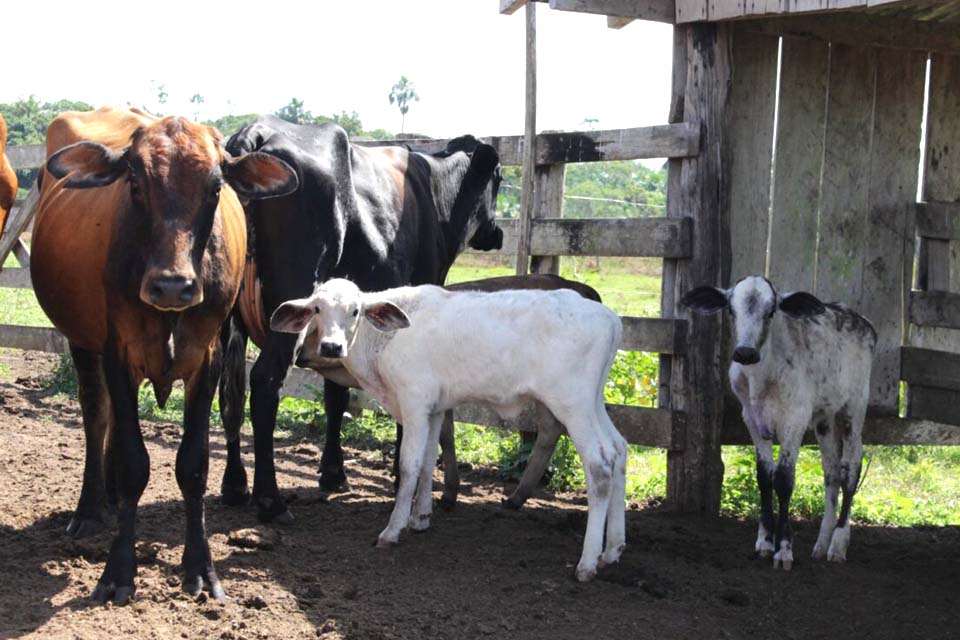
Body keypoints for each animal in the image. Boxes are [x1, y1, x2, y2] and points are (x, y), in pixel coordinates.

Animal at [32, 106, 296, 604]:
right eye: (135, 181)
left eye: (216, 186)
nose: (172, 286)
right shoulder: (117, 353)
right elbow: (134, 463)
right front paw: (117, 572)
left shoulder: (207, 358)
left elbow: (192, 465)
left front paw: (201, 570)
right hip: (83, 342)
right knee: (97, 415)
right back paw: (91, 507)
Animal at [218, 116, 502, 520]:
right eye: (498, 178)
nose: (496, 232)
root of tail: (256, 132)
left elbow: (335, 395)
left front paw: (333, 473)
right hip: (288, 311)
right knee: (264, 382)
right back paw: (270, 499)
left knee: (229, 389)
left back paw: (235, 485)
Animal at [272, 278, 632, 584]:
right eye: (317, 309)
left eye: (355, 310)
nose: (331, 347)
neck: (384, 342)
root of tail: (610, 319)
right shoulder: (434, 408)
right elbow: (429, 460)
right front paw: (420, 518)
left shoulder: (415, 401)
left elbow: (409, 465)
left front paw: (393, 529)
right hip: (592, 400)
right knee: (618, 450)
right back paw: (612, 550)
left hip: (572, 401)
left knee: (600, 463)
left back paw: (587, 563)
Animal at [684, 276, 876, 568]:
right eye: (731, 309)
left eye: (771, 311)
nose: (746, 352)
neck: (762, 379)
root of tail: (861, 319)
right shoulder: (751, 419)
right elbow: (764, 477)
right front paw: (764, 543)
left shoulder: (796, 418)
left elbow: (784, 479)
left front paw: (783, 549)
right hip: (825, 419)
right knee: (831, 473)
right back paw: (821, 544)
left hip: (854, 408)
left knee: (850, 470)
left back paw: (838, 544)